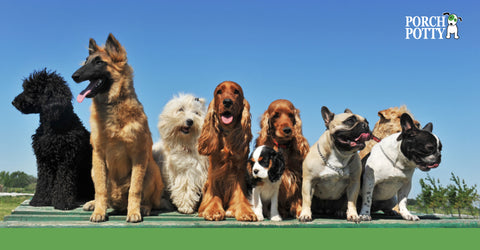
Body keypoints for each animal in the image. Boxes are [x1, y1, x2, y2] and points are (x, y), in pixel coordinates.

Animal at [71, 33, 164, 223]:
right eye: (86, 61)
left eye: (99, 62)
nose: (74, 76)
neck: (112, 105)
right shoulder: (98, 156)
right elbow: (100, 190)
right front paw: (98, 211)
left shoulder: (139, 155)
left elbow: (135, 189)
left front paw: (134, 211)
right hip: (94, 170)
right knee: (105, 193)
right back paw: (95, 204)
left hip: (151, 169)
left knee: (148, 200)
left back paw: (144, 208)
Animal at [197, 80, 256, 221]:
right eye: (219, 91)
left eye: (236, 92)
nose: (227, 102)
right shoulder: (214, 171)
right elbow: (214, 195)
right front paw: (213, 210)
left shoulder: (239, 172)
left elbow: (240, 194)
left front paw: (245, 211)